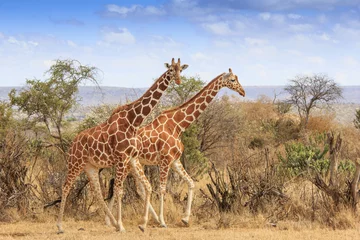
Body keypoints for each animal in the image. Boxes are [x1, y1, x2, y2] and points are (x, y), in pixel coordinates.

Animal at [56, 57, 188, 232]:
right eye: (171, 70)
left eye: (181, 70)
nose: (179, 81)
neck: (133, 121)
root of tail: (73, 142)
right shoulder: (121, 157)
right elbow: (119, 190)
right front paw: (122, 226)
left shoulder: (131, 157)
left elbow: (129, 189)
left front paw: (123, 224)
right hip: (75, 162)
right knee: (66, 186)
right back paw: (60, 226)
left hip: (91, 166)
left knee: (97, 193)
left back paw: (112, 222)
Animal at [107, 67, 245, 227]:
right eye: (233, 79)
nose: (243, 92)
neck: (178, 125)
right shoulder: (165, 160)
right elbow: (162, 189)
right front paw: (163, 221)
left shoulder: (175, 160)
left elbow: (191, 183)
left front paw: (185, 219)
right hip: (127, 163)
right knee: (121, 187)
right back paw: (115, 220)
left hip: (133, 163)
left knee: (136, 189)